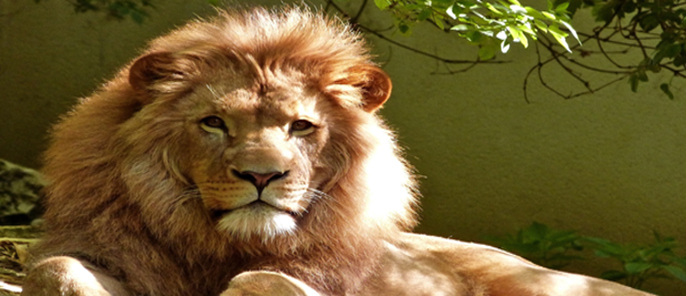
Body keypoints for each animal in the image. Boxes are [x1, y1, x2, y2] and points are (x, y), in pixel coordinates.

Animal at [22, 5, 656, 296]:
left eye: (301, 127)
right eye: (214, 123)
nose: (262, 176)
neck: (219, 246)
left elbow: (262, 281)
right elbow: (57, 268)